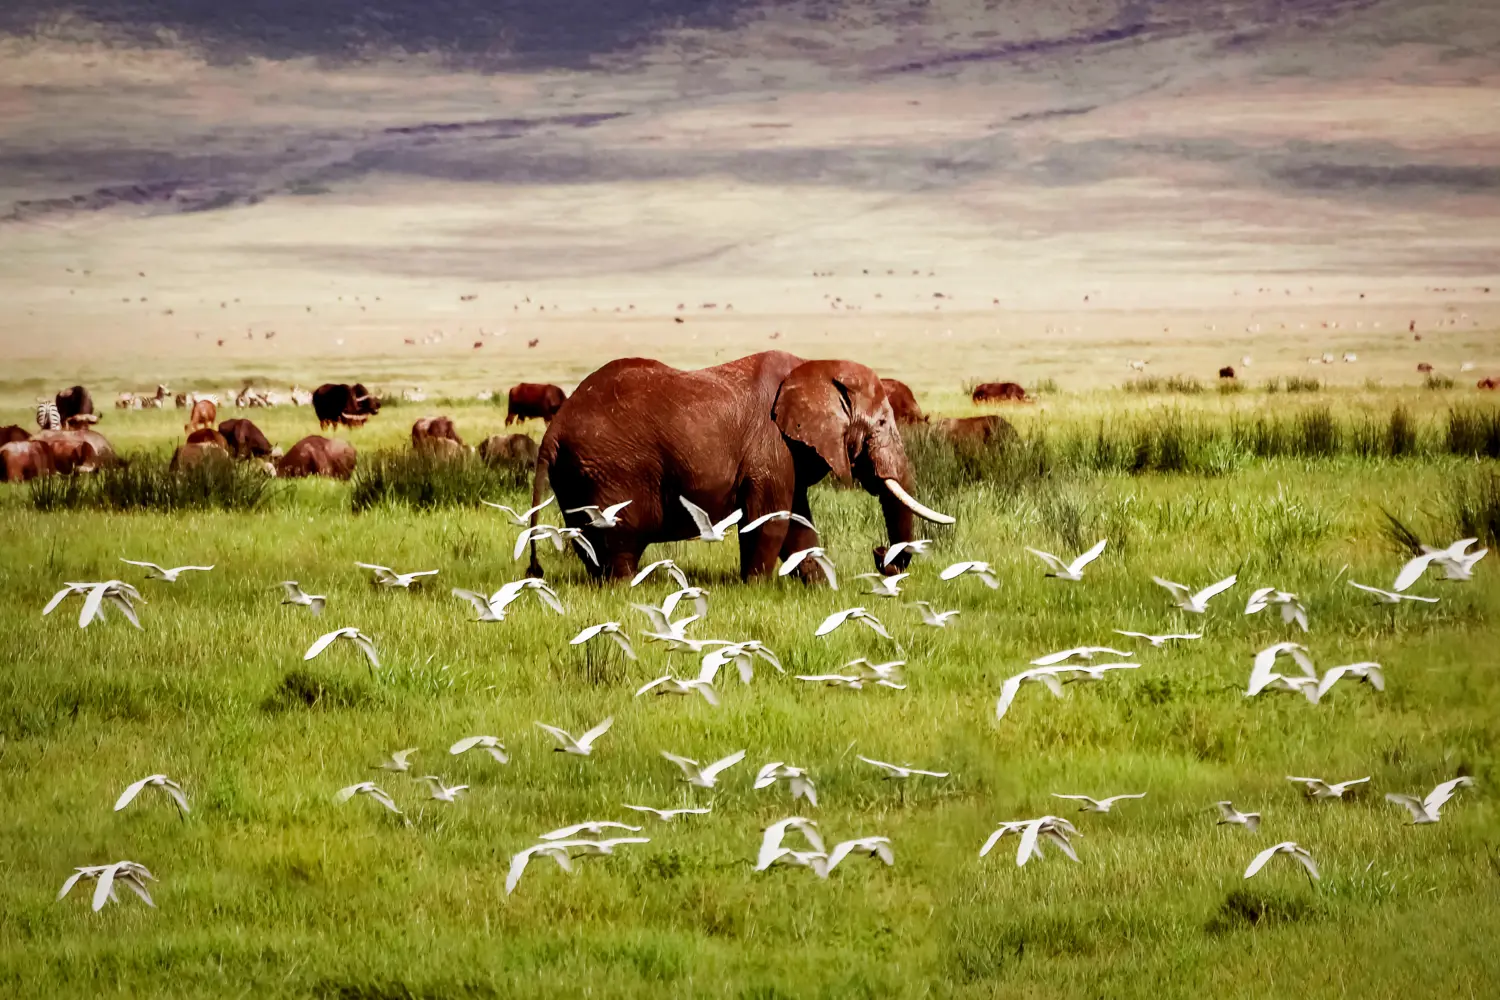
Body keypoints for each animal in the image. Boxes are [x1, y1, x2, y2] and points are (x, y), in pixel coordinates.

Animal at [524, 351, 953, 582]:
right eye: (880, 423)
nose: (882, 558)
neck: (813, 367)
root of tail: (555, 427)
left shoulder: (788, 453)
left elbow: (798, 523)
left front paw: (821, 588)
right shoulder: (772, 445)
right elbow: (771, 521)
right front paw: (755, 587)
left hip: (580, 473)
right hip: (610, 471)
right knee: (619, 538)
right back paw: (625, 586)